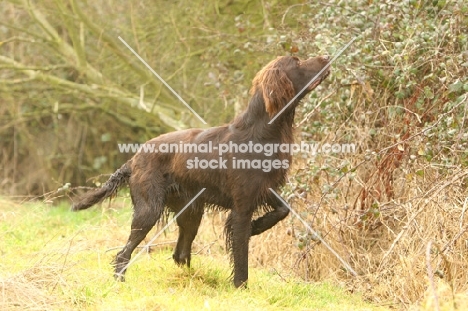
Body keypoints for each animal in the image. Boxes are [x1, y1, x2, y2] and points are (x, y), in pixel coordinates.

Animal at [71, 55, 330, 288]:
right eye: (297, 62)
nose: (327, 57)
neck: (263, 132)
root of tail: (134, 158)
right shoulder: (242, 207)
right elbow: (241, 255)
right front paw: (240, 287)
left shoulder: (265, 190)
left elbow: (283, 210)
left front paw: (258, 226)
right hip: (149, 210)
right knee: (123, 253)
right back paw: (120, 282)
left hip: (191, 212)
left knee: (180, 254)